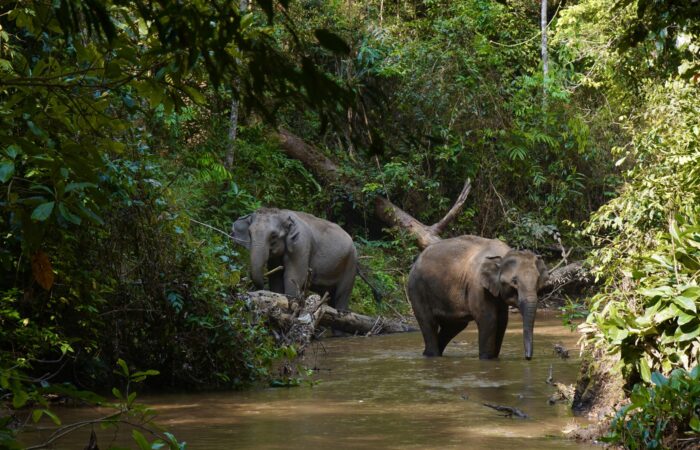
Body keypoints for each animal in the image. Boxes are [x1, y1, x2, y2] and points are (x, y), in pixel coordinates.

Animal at [231, 208, 359, 311]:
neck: (282, 214)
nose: (260, 288)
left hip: (351, 264)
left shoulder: (301, 245)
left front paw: (291, 302)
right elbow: (276, 277)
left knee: (342, 294)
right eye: (249, 233)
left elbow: (295, 276)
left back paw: (341, 311)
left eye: (273, 235)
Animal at [407, 235, 549, 360]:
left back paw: (428, 354)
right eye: (514, 281)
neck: (503, 255)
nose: (528, 358)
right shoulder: (478, 287)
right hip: (417, 289)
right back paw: (432, 355)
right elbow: (489, 320)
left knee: (453, 327)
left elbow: (502, 321)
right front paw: (486, 359)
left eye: (537, 280)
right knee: (428, 322)